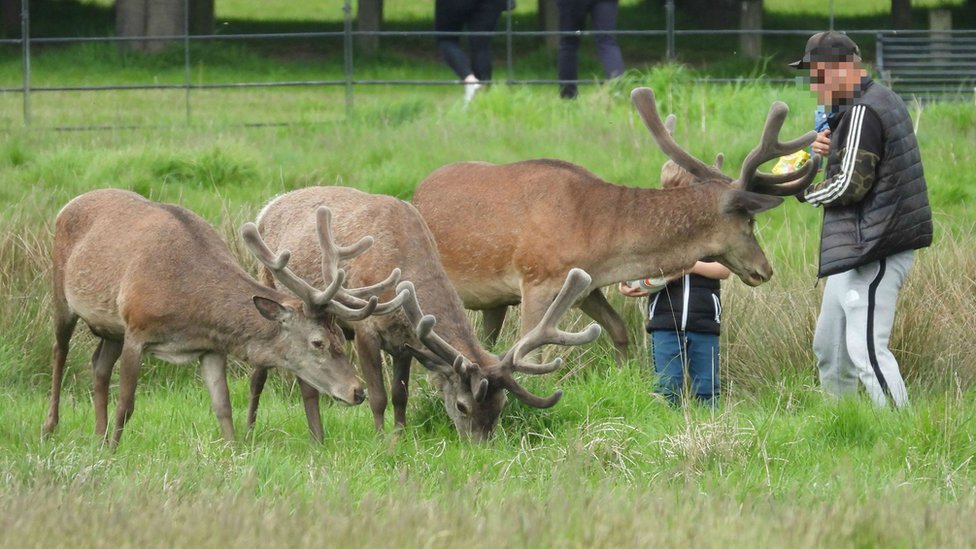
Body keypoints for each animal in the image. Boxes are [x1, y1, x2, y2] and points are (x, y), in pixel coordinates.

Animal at [44, 188, 404, 446]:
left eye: (340, 338)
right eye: (318, 342)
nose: (356, 391)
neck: (191, 306)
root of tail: (65, 206)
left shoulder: (210, 348)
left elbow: (223, 406)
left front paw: (233, 451)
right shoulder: (136, 327)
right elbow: (127, 402)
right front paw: (114, 450)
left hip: (110, 328)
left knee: (98, 365)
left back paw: (97, 433)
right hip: (63, 295)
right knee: (60, 352)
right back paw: (52, 428)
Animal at [250, 187, 604, 440]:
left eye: (502, 405)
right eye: (462, 406)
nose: (481, 447)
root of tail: (268, 206)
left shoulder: (405, 344)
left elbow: (400, 395)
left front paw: (400, 438)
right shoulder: (366, 329)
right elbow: (377, 396)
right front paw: (380, 442)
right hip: (268, 283)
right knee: (269, 374)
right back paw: (267, 431)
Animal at [408, 86, 820, 360]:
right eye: (750, 221)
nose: (765, 269)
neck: (596, 235)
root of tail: (415, 194)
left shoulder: (586, 283)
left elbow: (619, 329)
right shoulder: (536, 278)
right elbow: (529, 351)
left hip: (493, 301)